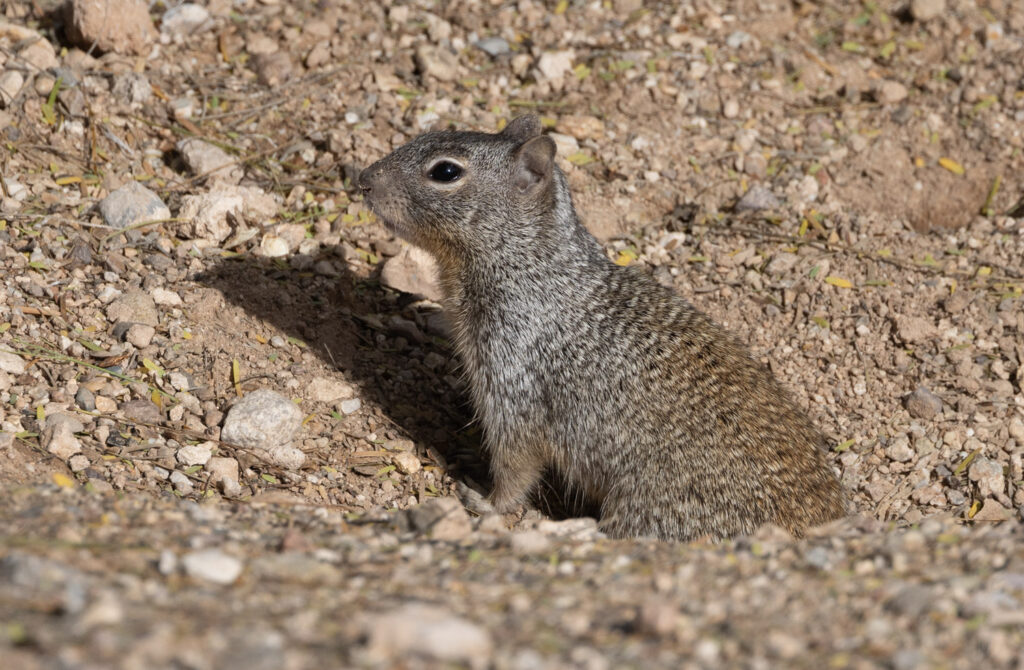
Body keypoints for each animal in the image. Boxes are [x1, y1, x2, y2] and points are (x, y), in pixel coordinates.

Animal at [356, 116, 843, 545]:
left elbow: (516, 464)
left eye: (446, 171)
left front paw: (484, 502)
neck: (533, 267)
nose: (363, 178)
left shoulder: (515, 382)